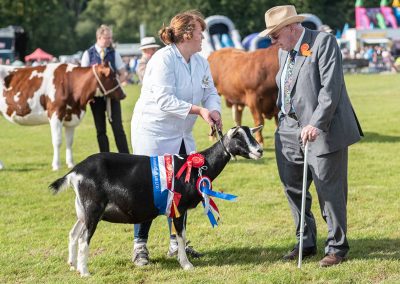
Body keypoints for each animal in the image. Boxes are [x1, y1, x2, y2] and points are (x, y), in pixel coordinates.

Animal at [48, 125, 262, 276]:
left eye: (251, 134)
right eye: (238, 137)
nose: (259, 150)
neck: (197, 167)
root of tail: (75, 172)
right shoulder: (179, 207)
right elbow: (181, 235)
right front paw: (187, 265)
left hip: (83, 210)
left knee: (73, 234)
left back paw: (73, 265)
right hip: (93, 209)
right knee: (83, 238)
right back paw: (85, 272)